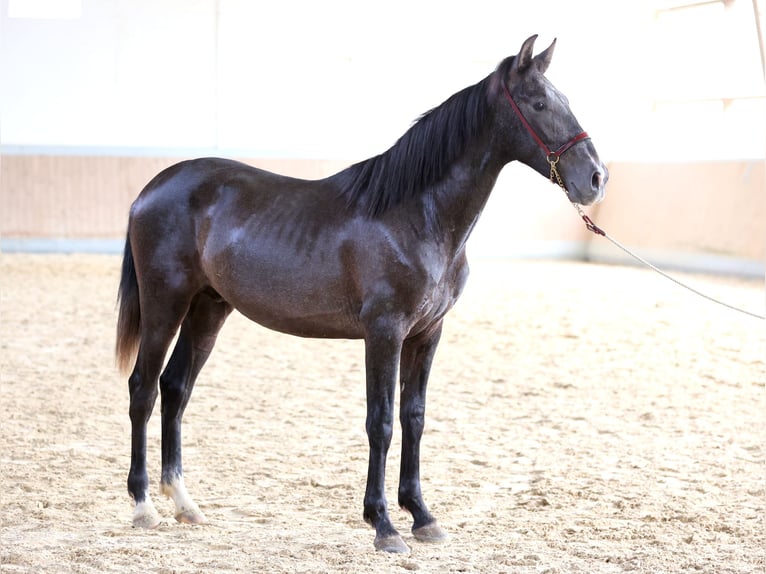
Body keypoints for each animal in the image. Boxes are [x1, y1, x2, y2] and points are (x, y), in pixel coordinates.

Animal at [115, 35, 608, 552]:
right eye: (539, 104)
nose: (596, 178)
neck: (416, 215)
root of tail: (152, 189)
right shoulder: (384, 332)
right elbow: (382, 422)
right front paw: (384, 525)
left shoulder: (427, 334)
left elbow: (414, 417)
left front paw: (423, 516)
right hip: (164, 304)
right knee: (143, 388)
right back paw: (144, 506)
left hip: (208, 308)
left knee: (175, 388)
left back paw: (184, 504)